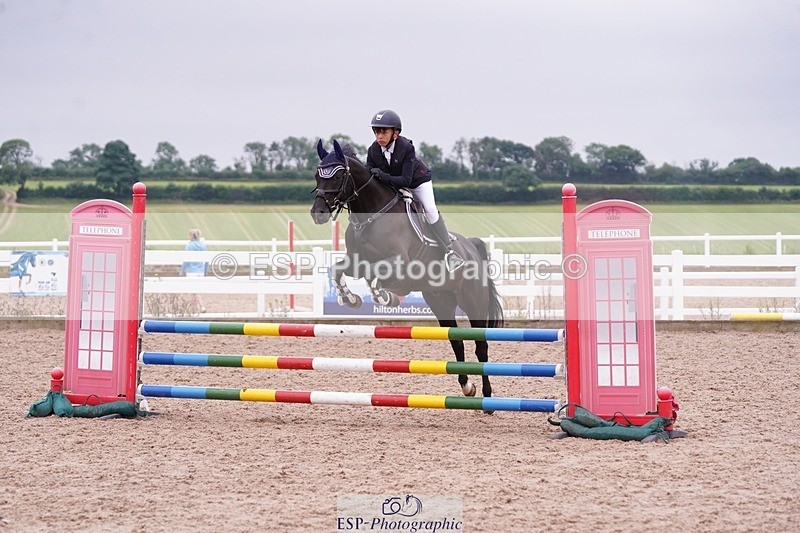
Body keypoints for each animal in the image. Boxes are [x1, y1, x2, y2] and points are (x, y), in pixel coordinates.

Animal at [310, 139, 504, 404]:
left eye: (339, 175)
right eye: (317, 175)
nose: (317, 213)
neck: (371, 215)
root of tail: (471, 247)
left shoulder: (399, 262)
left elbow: (375, 274)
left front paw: (383, 296)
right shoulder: (355, 260)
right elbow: (339, 269)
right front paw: (350, 298)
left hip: (473, 303)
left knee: (480, 346)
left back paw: (487, 396)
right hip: (441, 302)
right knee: (457, 342)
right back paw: (467, 387)